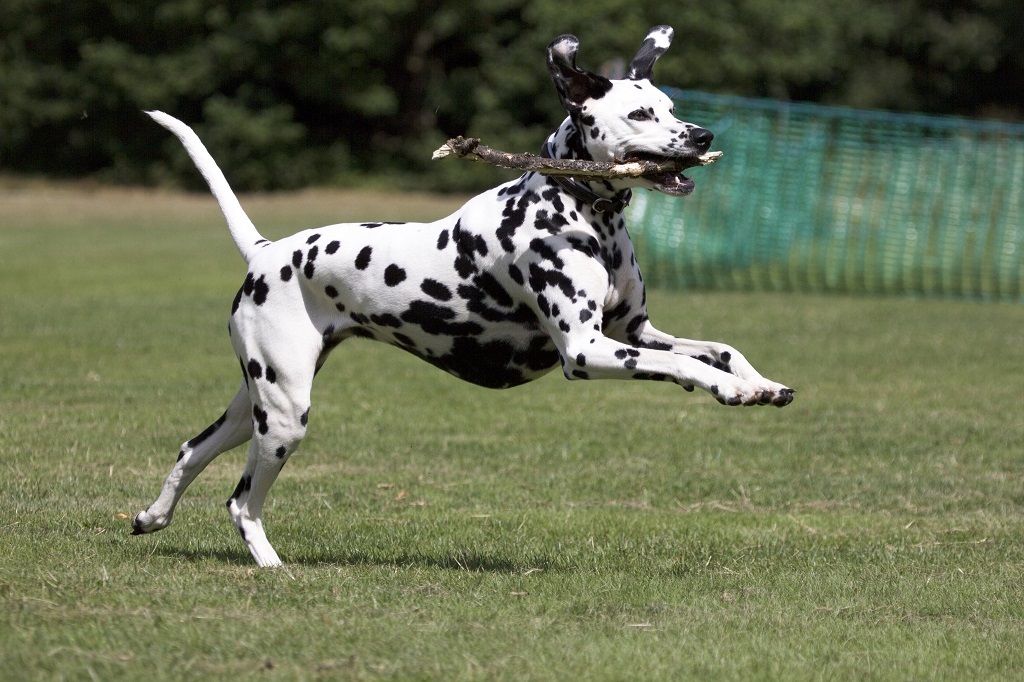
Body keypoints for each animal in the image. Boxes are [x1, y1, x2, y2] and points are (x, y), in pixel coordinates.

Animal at [132, 23, 794, 565]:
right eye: (639, 114)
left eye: (671, 108)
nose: (702, 134)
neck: (580, 210)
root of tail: (267, 252)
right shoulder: (588, 351)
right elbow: (687, 364)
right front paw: (731, 390)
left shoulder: (634, 332)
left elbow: (718, 347)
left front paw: (759, 382)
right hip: (285, 416)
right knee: (242, 502)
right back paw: (271, 565)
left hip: (256, 404)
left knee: (191, 448)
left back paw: (151, 516)